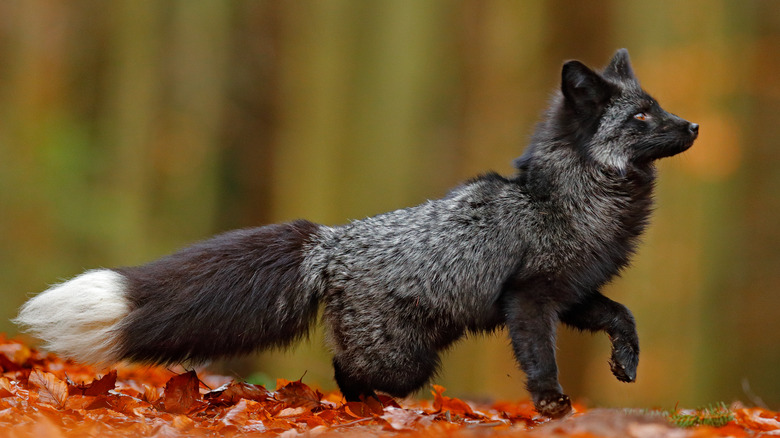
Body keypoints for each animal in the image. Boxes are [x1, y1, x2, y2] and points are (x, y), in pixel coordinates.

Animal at [12, 48, 696, 418]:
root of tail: (330, 241)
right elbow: (538, 359)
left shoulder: (573, 293)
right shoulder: (528, 299)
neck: (574, 197)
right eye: (642, 117)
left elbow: (623, 316)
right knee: (348, 373)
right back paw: (370, 412)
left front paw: (626, 364)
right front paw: (552, 404)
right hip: (402, 356)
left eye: (658, 108)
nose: (693, 127)